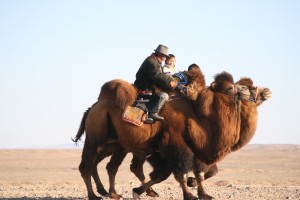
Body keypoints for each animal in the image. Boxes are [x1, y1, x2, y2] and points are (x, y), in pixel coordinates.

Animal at [74, 69, 250, 200]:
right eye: (230, 87)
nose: (247, 90)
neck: (197, 116)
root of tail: (92, 108)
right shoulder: (176, 145)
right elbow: (180, 173)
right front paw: (189, 195)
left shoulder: (178, 150)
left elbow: (173, 174)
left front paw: (204, 194)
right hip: (95, 138)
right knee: (87, 165)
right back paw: (94, 195)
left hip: (117, 144)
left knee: (111, 166)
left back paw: (112, 193)